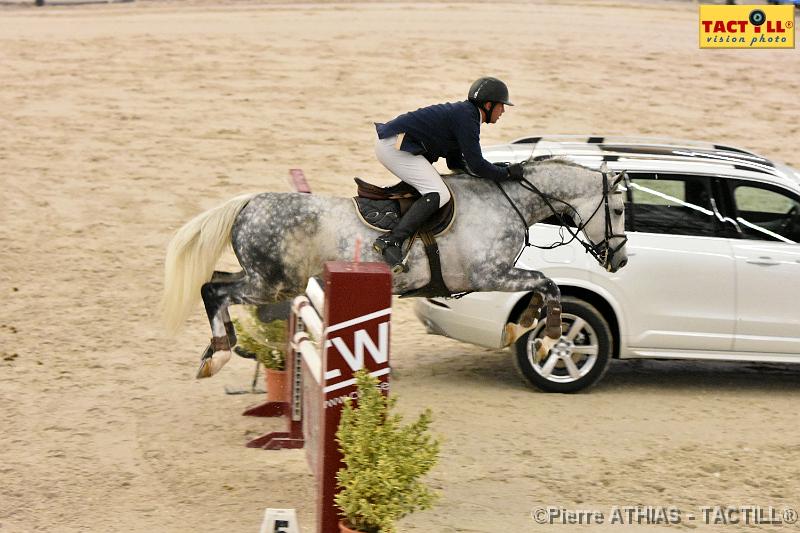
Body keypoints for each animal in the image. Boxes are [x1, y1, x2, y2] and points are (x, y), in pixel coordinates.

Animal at [162, 158, 628, 378]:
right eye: (621, 209)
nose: (620, 259)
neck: (506, 200)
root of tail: (248, 204)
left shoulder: (499, 276)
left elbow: (542, 287)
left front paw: (522, 327)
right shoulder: (490, 274)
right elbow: (548, 285)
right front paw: (548, 341)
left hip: (267, 280)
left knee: (216, 283)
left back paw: (218, 350)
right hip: (273, 283)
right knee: (213, 290)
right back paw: (219, 353)